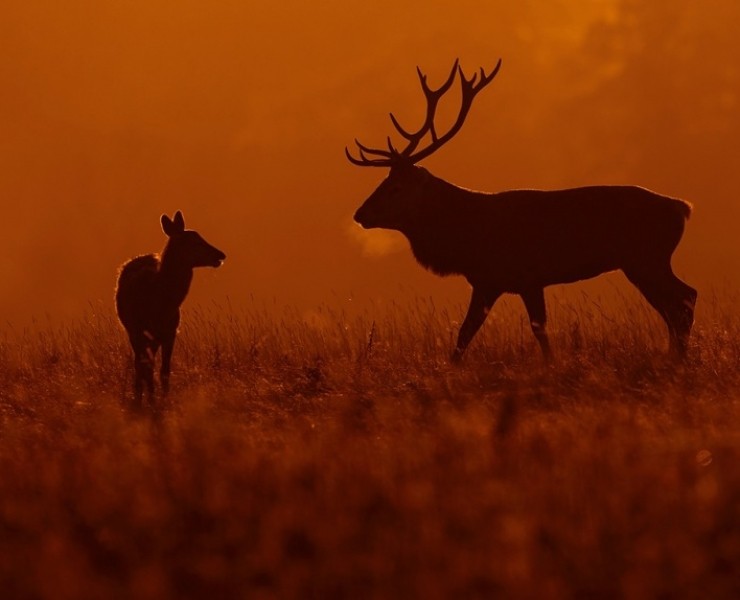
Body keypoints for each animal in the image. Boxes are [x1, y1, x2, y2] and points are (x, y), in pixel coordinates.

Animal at [115, 211, 226, 407]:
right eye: (194, 241)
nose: (221, 255)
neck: (160, 302)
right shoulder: (138, 330)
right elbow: (147, 367)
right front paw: (151, 400)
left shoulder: (170, 332)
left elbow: (165, 370)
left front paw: (164, 399)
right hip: (132, 331)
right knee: (139, 363)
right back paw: (139, 396)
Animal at [346, 59, 697, 361]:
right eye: (383, 180)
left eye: (395, 187)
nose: (360, 214)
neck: (466, 237)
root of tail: (682, 207)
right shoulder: (493, 282)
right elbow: (467, 335)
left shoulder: (522, 277)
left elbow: (524, 331)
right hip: (643, 262)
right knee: (677, 303)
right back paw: (674, 356)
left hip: (646, 258)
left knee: (683, 300)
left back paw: (678, 358)